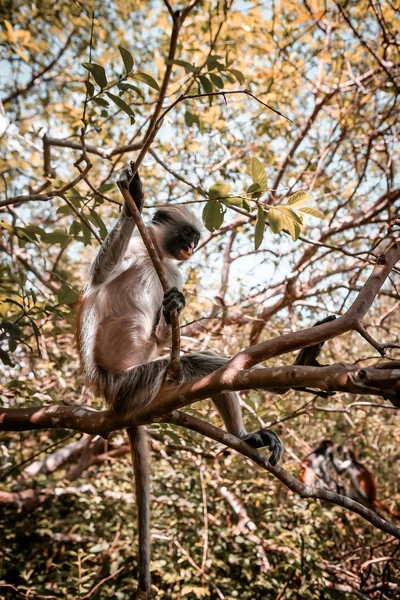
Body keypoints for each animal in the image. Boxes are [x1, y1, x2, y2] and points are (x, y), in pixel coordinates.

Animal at [76, 166, 284, 596]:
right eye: (187, 235)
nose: (191, 247)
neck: (151, 252)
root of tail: (111, 399)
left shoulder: (172, 270)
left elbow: (165, 326)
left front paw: (175, 308)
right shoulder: (144, 253)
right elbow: (98, 275)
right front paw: (133, 198)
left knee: (205, 369)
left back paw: (247, 432)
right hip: (133, 382)